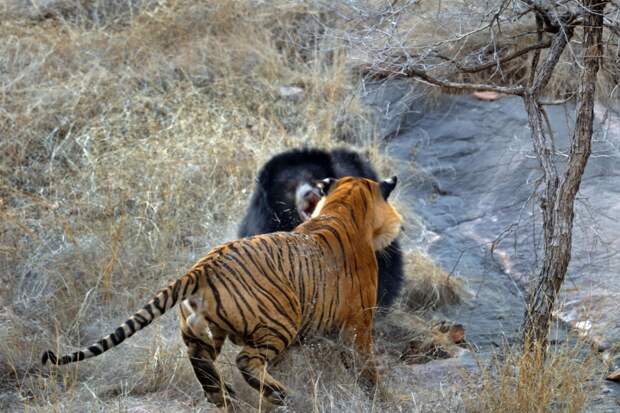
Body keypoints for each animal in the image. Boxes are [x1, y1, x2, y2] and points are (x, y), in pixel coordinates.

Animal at [42, 175, 402, 406]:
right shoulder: (358, 324)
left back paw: (224, 396)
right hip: (279, 321)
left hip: (202, 332)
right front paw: (381, 398)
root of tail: (203, 266)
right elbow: (365, 367)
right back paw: (277, 394)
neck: (342, 206)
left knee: (201, 361)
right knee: (246, 361)